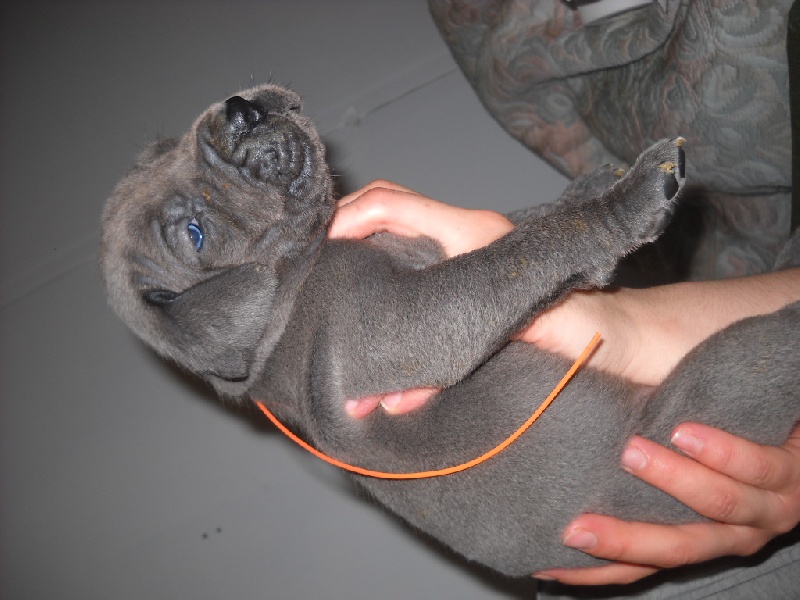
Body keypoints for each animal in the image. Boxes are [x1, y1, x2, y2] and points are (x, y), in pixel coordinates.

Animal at [100, 84, 800, 576]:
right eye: (192, 234)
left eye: (165, 147)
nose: (239, 110)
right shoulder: (386, 319)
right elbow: (512, 256)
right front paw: (622, 201)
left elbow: (516, 231)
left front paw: (589, 185)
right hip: (708, 399)